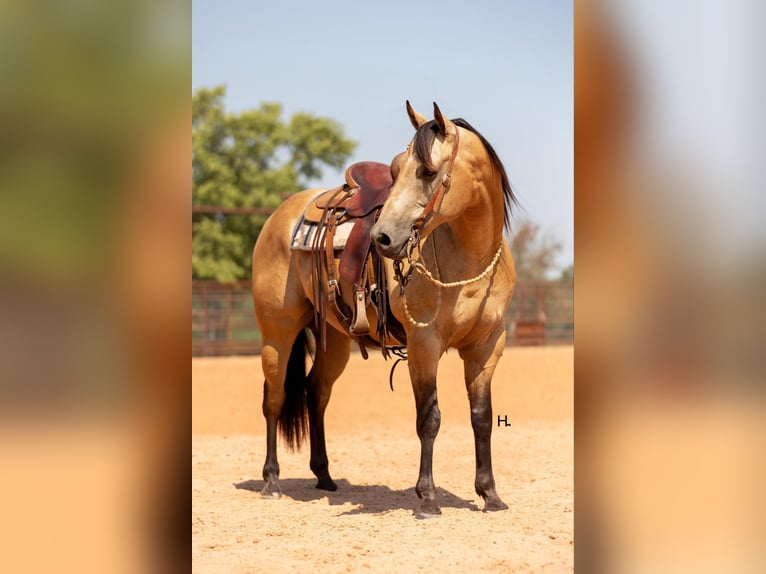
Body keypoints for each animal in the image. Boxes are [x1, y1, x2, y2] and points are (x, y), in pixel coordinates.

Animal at [251, 101, 518, 516]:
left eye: (428, 171)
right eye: (394, 170)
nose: (382, 238)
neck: (467, 262)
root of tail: (280, 215)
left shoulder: (487, 346)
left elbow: (483, 418)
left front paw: (490, 495)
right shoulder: (424, 346)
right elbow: (429, 418)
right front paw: (427, 498)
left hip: (335, 341)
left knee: (316, 393)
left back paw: (324, 476)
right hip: (276, 333)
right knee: (274, 399)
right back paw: (272, 481)